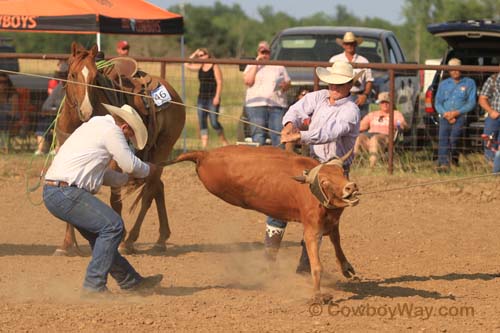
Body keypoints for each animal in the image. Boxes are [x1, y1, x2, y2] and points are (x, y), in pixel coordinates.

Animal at [53, 42, 186, 254]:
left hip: (163, 149)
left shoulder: (116, 163)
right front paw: (66, 244)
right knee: (158, 187)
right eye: (73, 74)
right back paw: (161, 240)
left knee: (149, 192)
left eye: (94, 78)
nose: (86, 111)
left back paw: (130, 241)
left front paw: (119, 238)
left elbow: (116, 203)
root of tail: (174, 94)